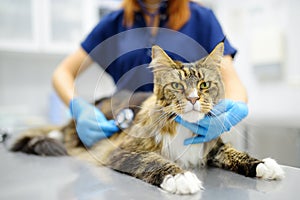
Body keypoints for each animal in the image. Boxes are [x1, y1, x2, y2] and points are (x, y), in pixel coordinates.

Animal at [9, 42, 284, 194]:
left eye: (204, 85)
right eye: (177, 86)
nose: (193, 99)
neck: (184, 129)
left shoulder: (213, 146)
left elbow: (236, 154)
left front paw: (264, 165)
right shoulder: (123, 150)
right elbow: (154, 161)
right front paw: (181, 177)